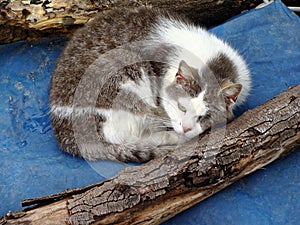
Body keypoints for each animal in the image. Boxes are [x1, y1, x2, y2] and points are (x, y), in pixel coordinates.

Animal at [49, 6, 251, 162]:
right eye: (182, 107)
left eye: (204, 117)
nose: (186, 128)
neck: (215, 63)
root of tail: (67, 135)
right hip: (122, 74)